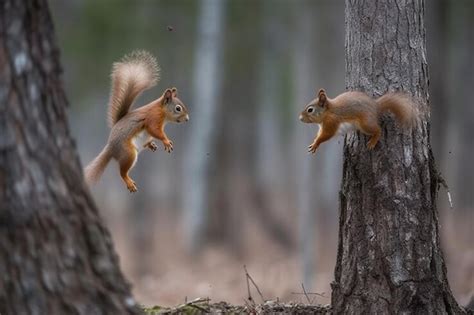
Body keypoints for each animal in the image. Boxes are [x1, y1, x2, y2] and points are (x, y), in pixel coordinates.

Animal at [83, 51, 189, 193]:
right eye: (178, 108)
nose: (187, 119)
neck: (161, 111)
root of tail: (110, 146)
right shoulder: (153, 118)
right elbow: (155, 130)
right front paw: (166, 141)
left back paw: (150, 145)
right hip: (128, 153)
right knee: (122, 172)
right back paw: (129, 182)